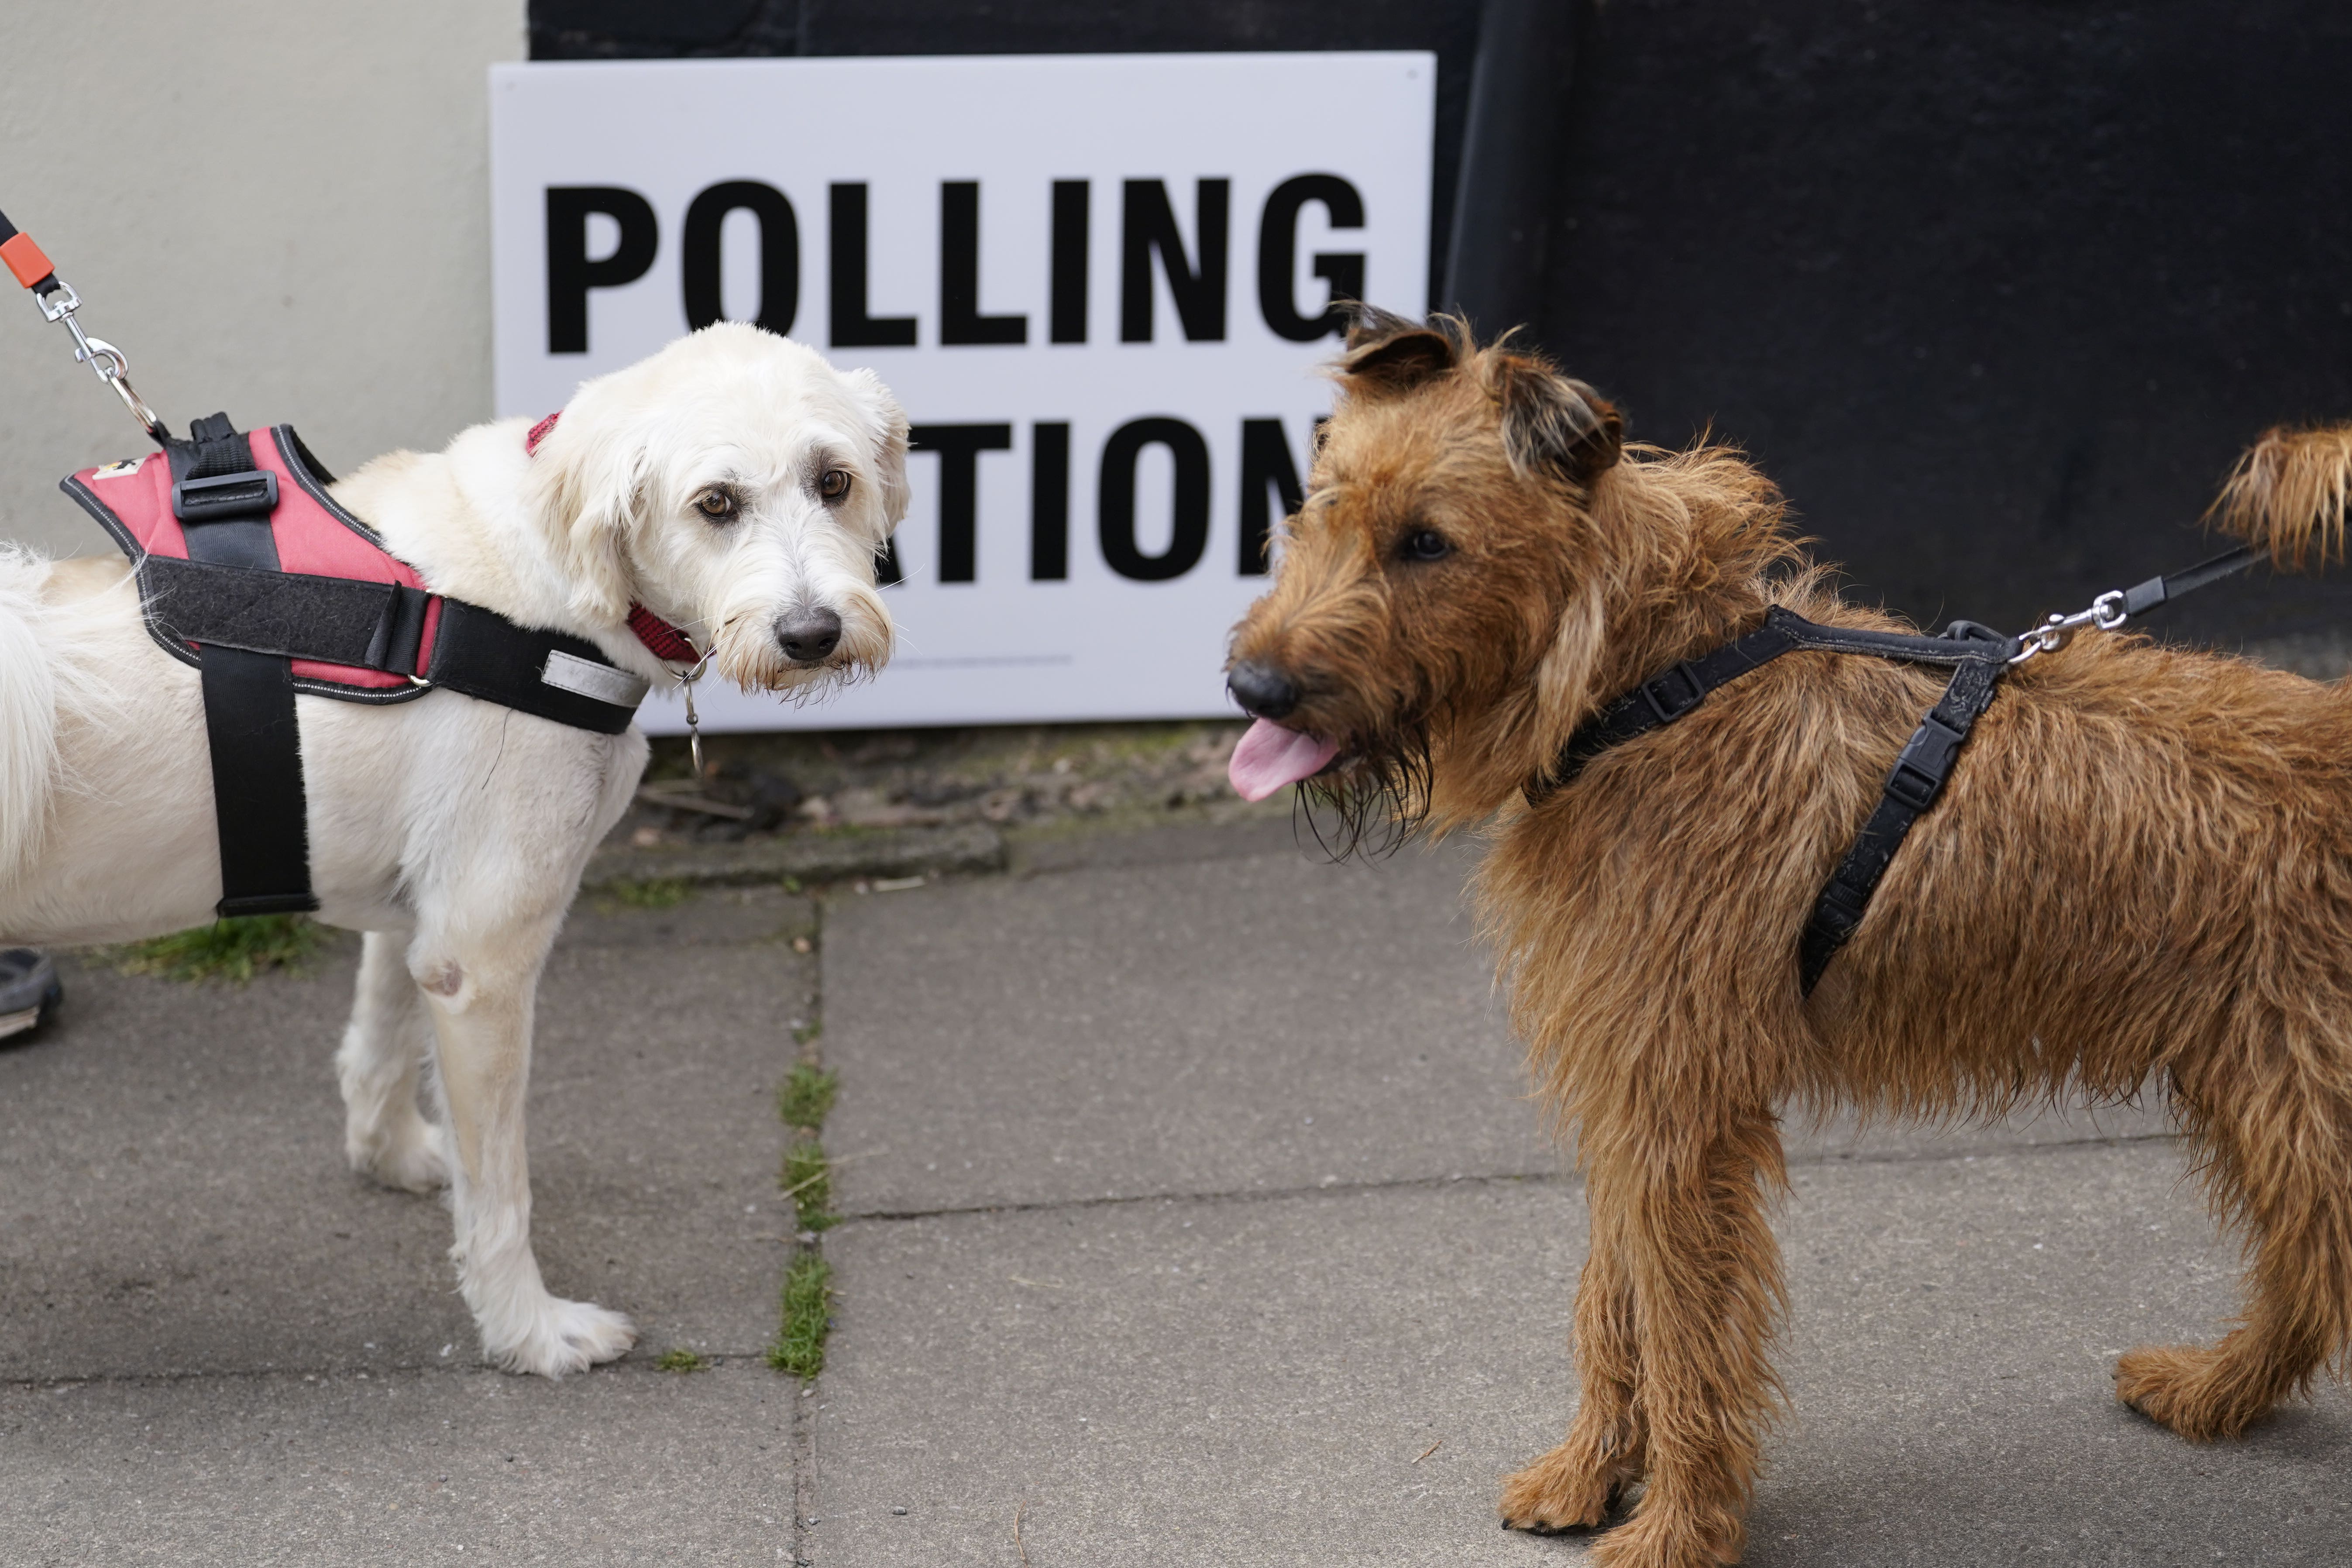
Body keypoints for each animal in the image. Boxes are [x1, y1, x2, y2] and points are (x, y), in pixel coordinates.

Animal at [0, 324, 908, 1382]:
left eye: (835, 480)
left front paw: (393, 1156)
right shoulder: (486, 959)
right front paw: (530, 1332)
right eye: (715, 503)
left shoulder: (421, 924)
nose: (811, 633)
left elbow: (380, 1044)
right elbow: (502, 1191)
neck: (546, 584)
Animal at [1223, 310, 2352, 1568]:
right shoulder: (1633, 1092)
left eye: (1429, 542)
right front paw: (1587, 1475)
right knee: (2305, 1271)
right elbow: (1614, 1300)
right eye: (1320, 506)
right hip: (2270, 1097)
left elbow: (1683, 1329)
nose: (1252, 687)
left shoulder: (1677, 1114)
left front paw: (1675, 1531)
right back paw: (2214, 1391)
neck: (1650, 687)